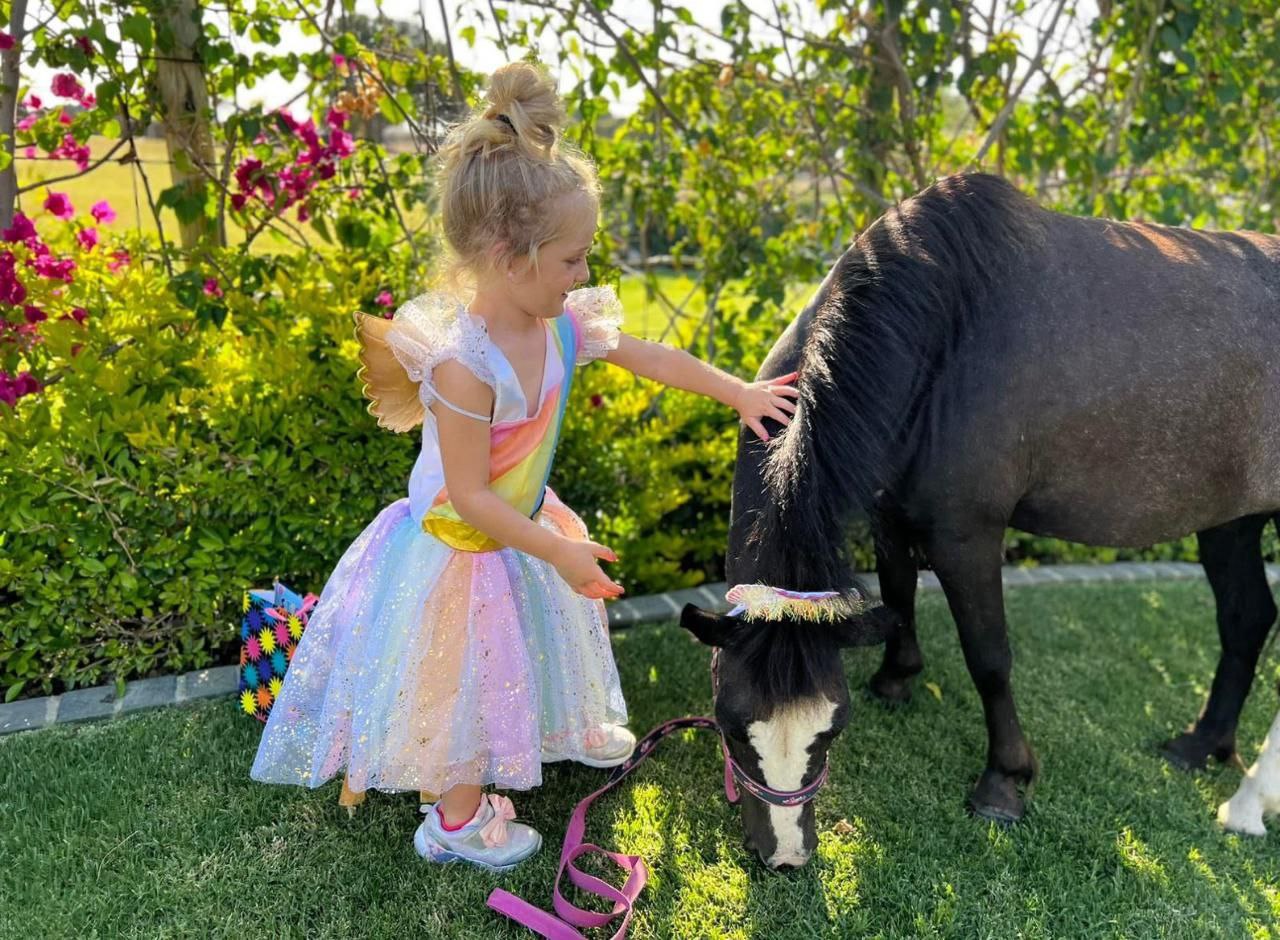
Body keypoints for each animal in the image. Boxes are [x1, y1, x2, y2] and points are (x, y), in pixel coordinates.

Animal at [680, 172, 1280, 870]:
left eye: (830, 731)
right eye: (728, 725)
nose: (785, 857)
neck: (937, 337)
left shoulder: (966, 536)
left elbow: (988, 656)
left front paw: (1005, 781)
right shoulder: (891, 513)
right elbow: (898, 595)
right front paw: (896, 678)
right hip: (1231, 519)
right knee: (1246, 618)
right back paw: (1203, 744)